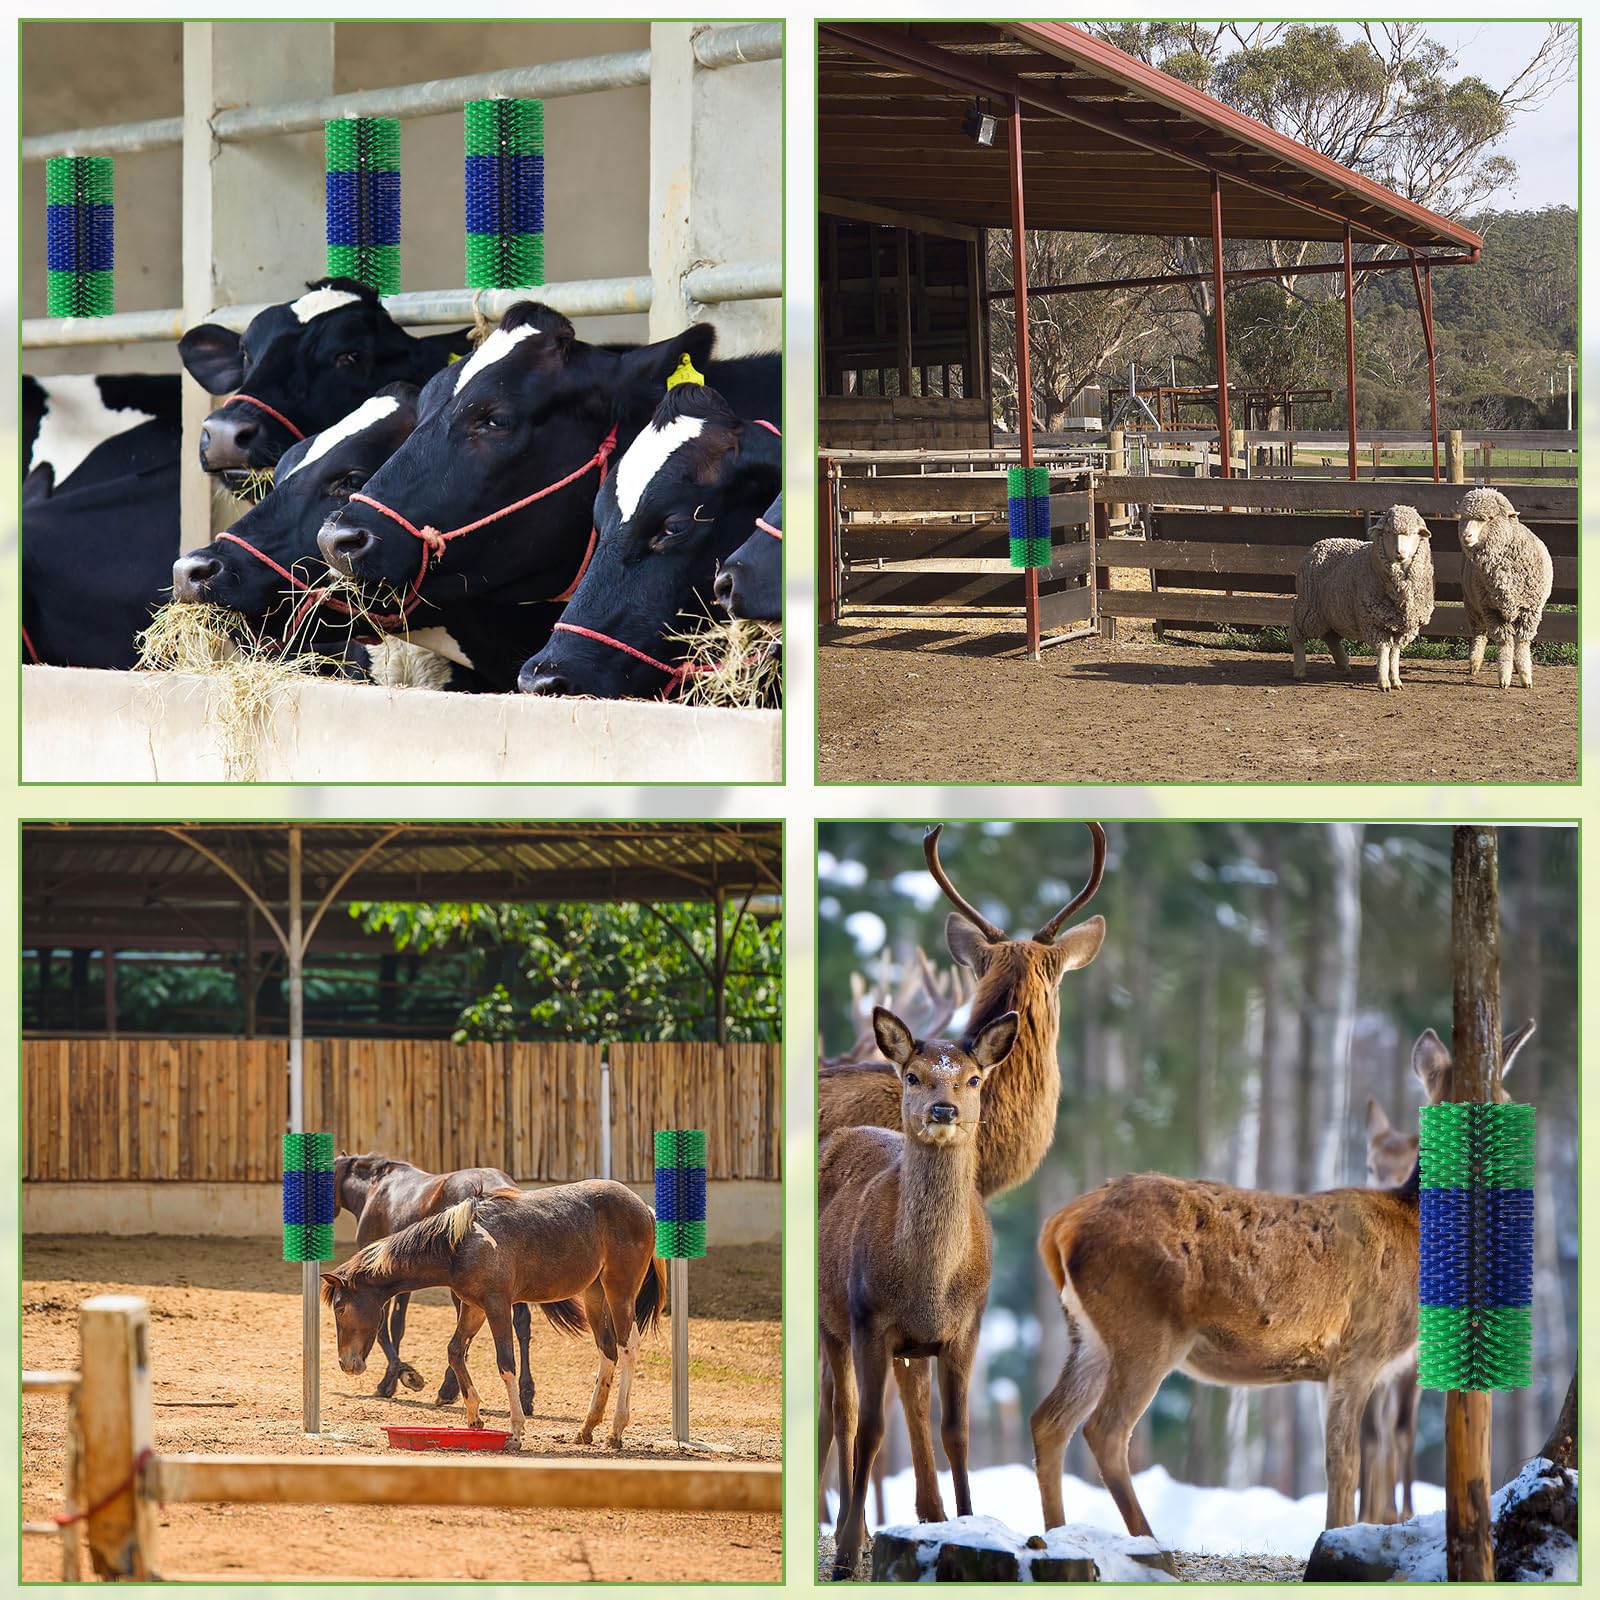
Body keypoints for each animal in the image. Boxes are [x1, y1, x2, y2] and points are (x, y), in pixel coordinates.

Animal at [321, 1180, 666, 1450]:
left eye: (340, 1307)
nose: (347, 1364)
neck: (461, 1243)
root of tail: (643, 1208)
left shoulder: (498, 1305)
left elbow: (506, 1363)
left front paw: (516, 1432)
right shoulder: (473, 1307)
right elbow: (455, 1351)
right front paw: (475, 1416)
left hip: (619, 1290)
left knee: (627, 1347)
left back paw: (616, 1431)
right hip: (595, 1293)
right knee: (607, 1351)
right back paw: (587, 1429)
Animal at [333, 1151, 535, 1411]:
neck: (375, 1187)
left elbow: (385, 1329)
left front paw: (398, 1378)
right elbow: (397, 1326)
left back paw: (448, 1389)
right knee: (521, 1325)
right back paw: (526, 1394)